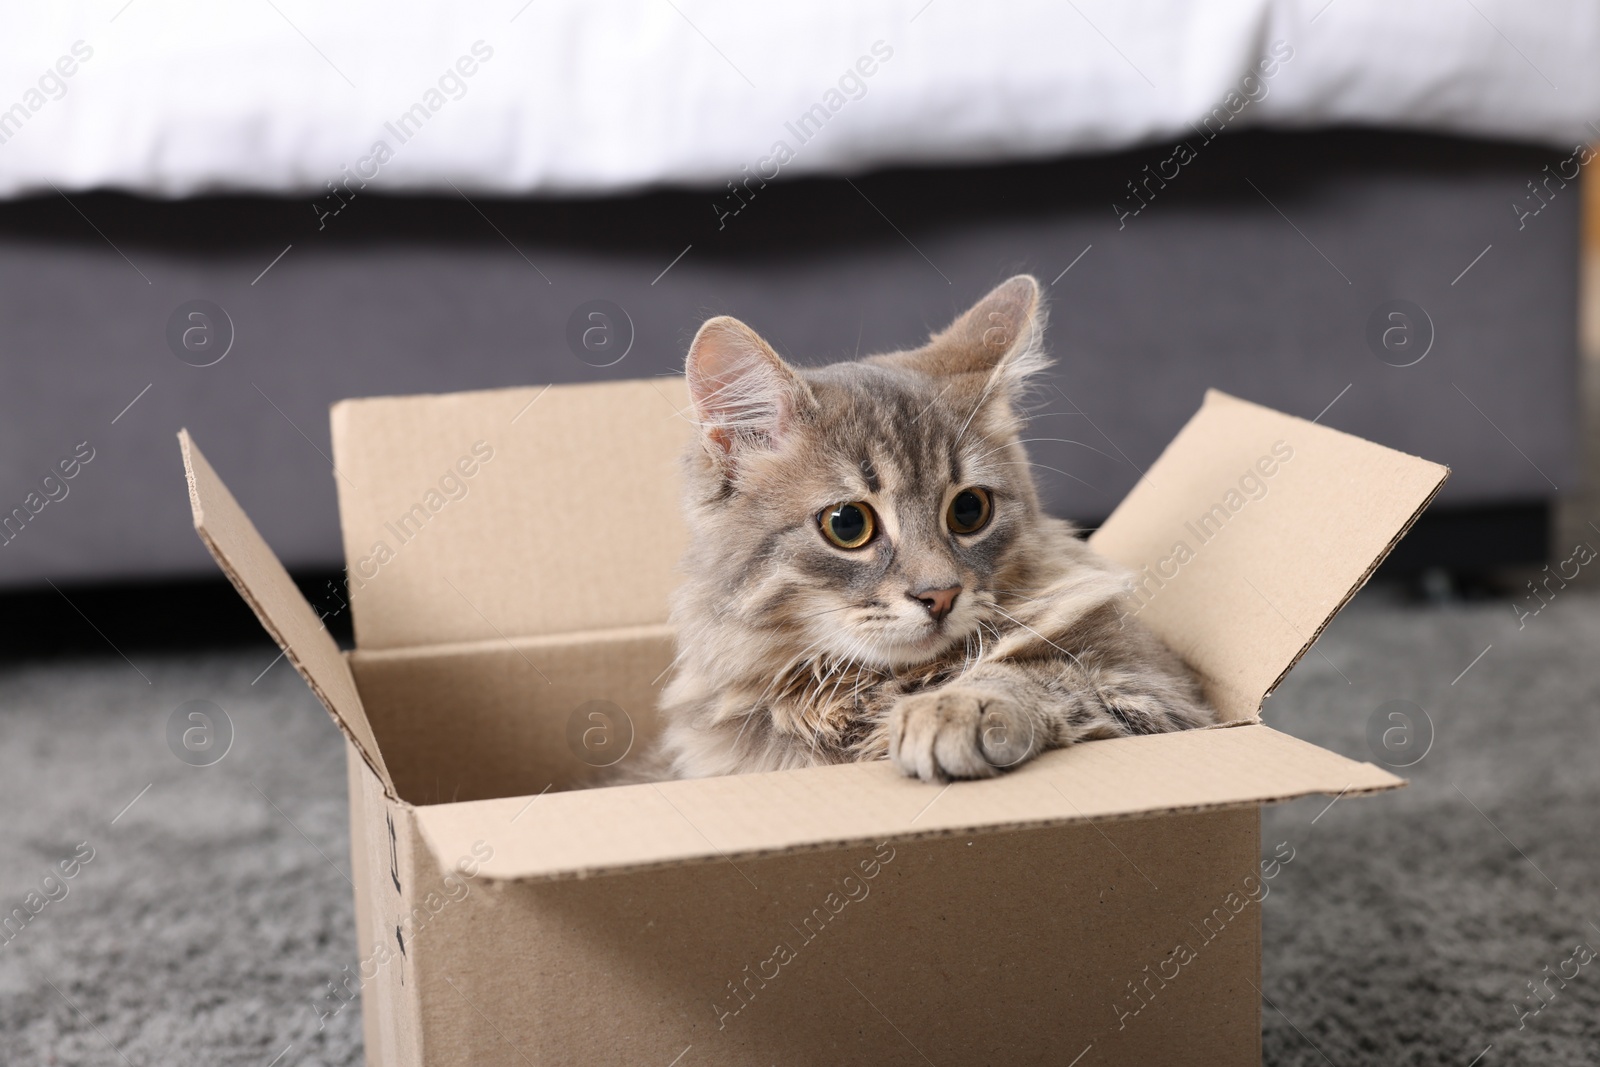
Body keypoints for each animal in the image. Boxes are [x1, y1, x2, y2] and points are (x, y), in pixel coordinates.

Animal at [643, 275, 1203, 783]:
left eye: (970, 510)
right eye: (847, 523)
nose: (940, 596)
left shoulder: (1163, 698)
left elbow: (1037, 675)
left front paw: (954, 707)